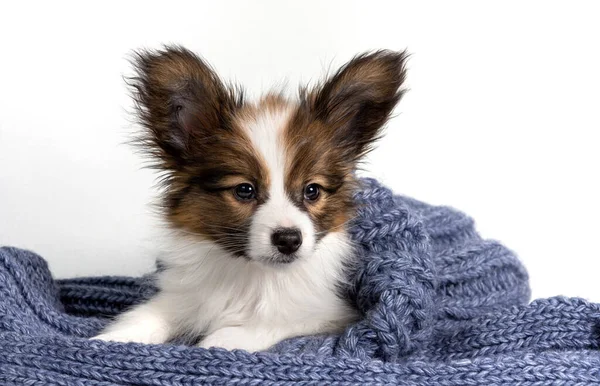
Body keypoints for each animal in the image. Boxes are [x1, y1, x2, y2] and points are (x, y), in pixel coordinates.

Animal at [96, 46, 408, 352]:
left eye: (312, 191)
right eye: (244, 190)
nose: (289, 240)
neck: (254, 274)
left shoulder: (332, 314)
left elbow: (271, 323)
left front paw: (218, 341)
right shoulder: (185, 296)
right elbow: (147, 315)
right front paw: (110, 340)